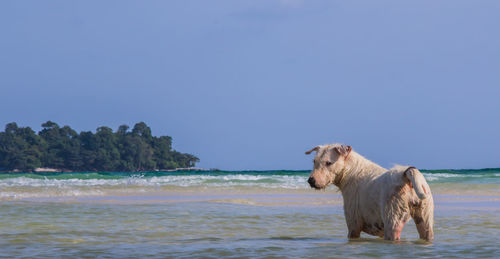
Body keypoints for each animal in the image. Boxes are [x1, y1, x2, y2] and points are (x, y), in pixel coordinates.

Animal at [304, 144, 434, 242]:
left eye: (328, 163)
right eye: (314, 161)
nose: (311, 180)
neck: (350, 171)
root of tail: (407, 174)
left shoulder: (353, 225)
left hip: (392, 219)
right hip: (425, 217)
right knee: (427, 232)